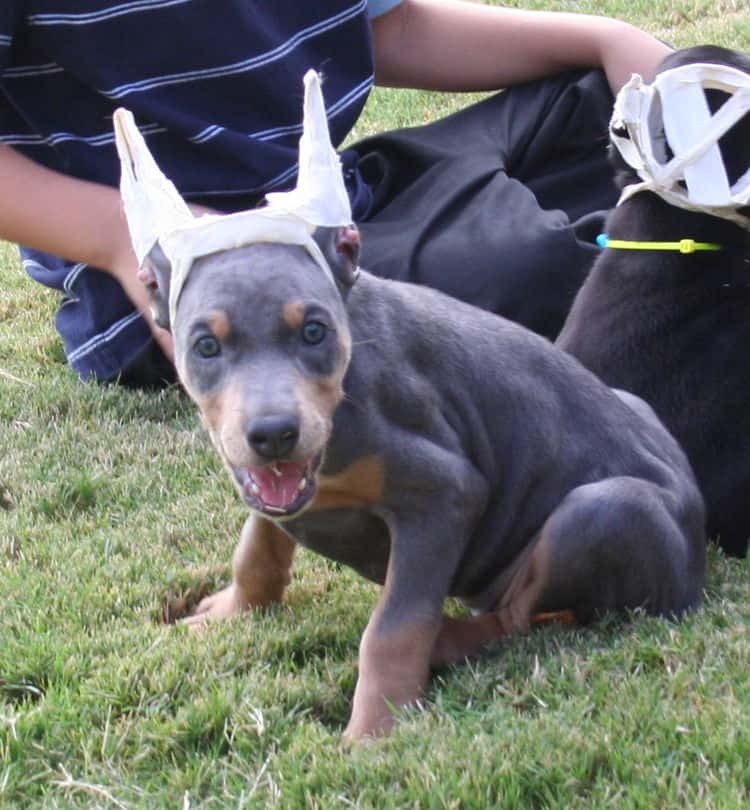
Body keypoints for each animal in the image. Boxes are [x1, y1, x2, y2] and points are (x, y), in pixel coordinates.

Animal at [144, 223, 708, 740]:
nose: (274, 435)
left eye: (314, 332)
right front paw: (230, 612)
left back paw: (445, 643)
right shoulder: (276, 489)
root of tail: (698, 551)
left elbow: (395, 627)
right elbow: (257, 550)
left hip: (605, 512)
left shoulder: (444, 495)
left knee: (516, 615)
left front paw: (374, 730)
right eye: (206, 346)